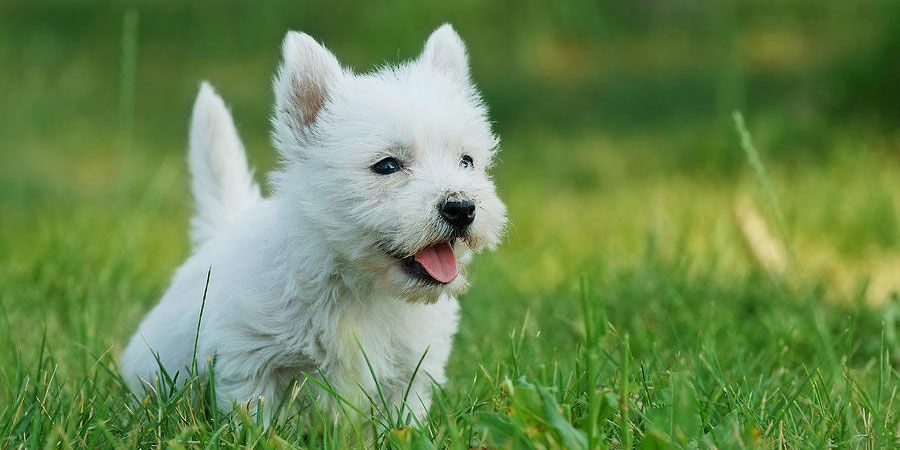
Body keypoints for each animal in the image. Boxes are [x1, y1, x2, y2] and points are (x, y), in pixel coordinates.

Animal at [121, 25, 506, 426]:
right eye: (386, 166)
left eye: (466, 161)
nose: (461, 208)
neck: (359, 287)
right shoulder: (249, 359)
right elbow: (255, 417)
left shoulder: (411, 370)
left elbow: (403, 419)